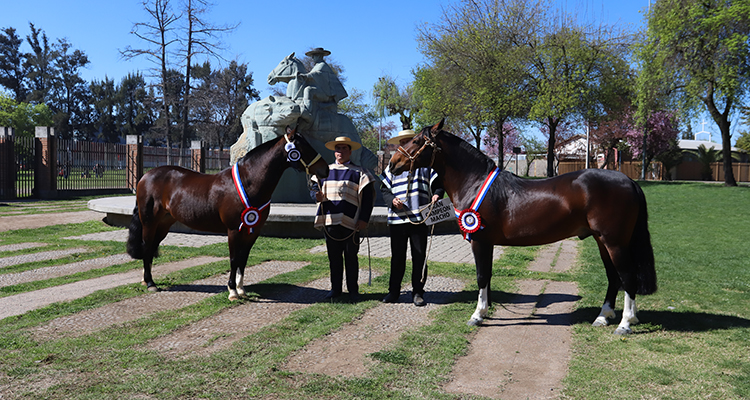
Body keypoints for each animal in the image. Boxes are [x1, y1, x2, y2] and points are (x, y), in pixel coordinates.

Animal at [127, 127, 328, 300]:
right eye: (304, 147)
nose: (325, 169)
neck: (249, 182)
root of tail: (145, 176)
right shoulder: (234, 230)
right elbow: (233, 259)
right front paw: (232, 291)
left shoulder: (252, 231)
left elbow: (243, 259)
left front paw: (241, 289)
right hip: (149, 222)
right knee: (147, 246)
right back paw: (151, 283)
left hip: (163, 224)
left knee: (152, 247)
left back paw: (146, 279)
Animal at [388, 119, 656, 334]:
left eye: (418, 141)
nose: (392, 163)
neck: (474, 182)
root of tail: (629, 181)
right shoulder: (487, 243)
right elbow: (488, 275)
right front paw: (484, 311)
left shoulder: (480, 241)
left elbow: (481, 276)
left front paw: (477, 315)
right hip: (603, 242)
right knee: (613, 277)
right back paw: (603, 317)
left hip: (614, 242)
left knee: (627, 277)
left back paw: (625, 323)